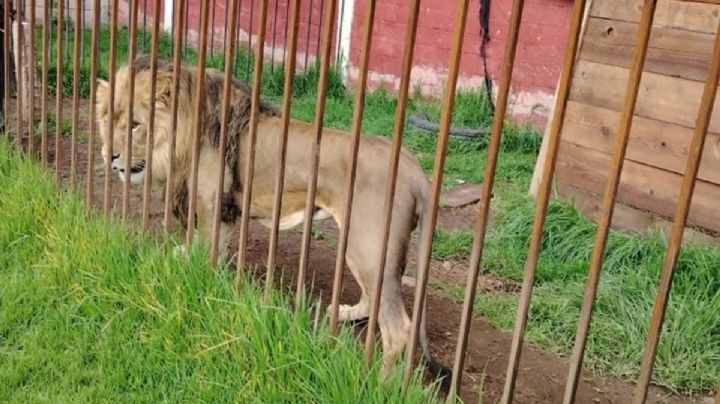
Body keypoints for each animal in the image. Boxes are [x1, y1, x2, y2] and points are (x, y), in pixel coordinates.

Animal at [95, 55, 451, 389]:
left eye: (135, 125)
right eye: (107, 120)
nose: (108, 155)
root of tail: (414, 168)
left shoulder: (212, 206)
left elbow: (207, 257)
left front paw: (200, 285)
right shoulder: (223, 212)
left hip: (368, 244)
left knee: (398, 329)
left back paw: (380, 384)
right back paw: (346, 313)